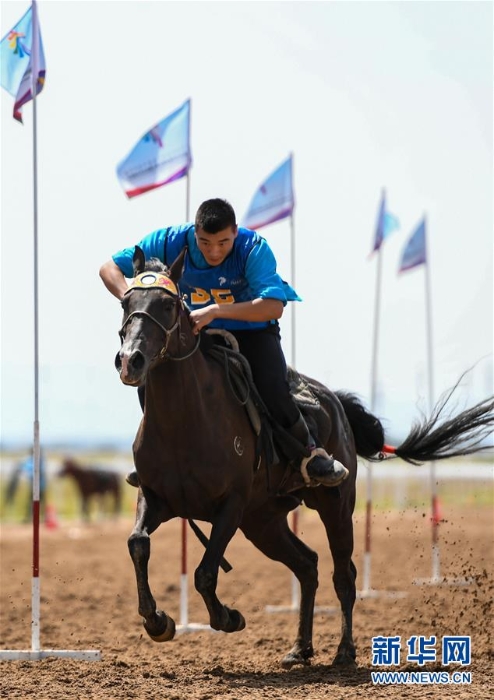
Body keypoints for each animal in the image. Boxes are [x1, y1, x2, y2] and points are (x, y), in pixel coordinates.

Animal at [115, 246, 494, 668]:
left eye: (167, 305)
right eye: (126, 302)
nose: (130, 360)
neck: (185, 421)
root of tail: (337, 403)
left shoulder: (230, 506)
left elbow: (204, 572)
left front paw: (229, 617)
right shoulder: (156, 497)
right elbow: (138, 544)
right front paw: (158, 621)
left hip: (334, 505)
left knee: (343, 574)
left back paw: (344, 650)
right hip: (263, 521)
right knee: (307, 565)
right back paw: (300, 647)